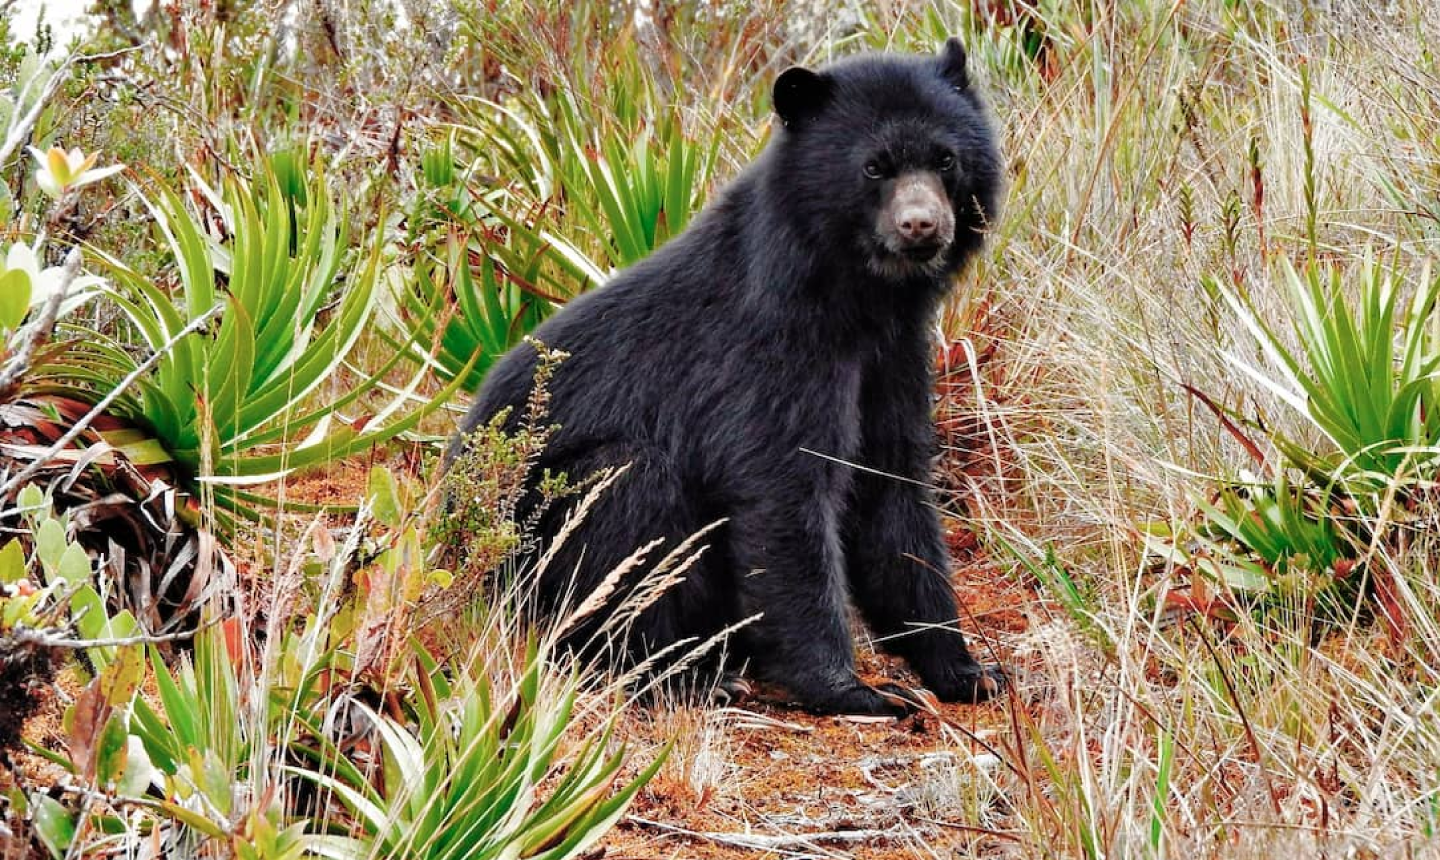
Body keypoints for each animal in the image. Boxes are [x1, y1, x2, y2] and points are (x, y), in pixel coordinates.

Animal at [447, 37, 1005, 716]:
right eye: (875, 168)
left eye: (945, 159)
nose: (921, 226)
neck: (856, 300)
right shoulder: (770, 356)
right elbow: (783, 495)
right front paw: (857, 690)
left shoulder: (893, 361)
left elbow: (892, 493)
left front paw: (966, 670)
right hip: (535, 537)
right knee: (628, 498)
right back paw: (684, 675)